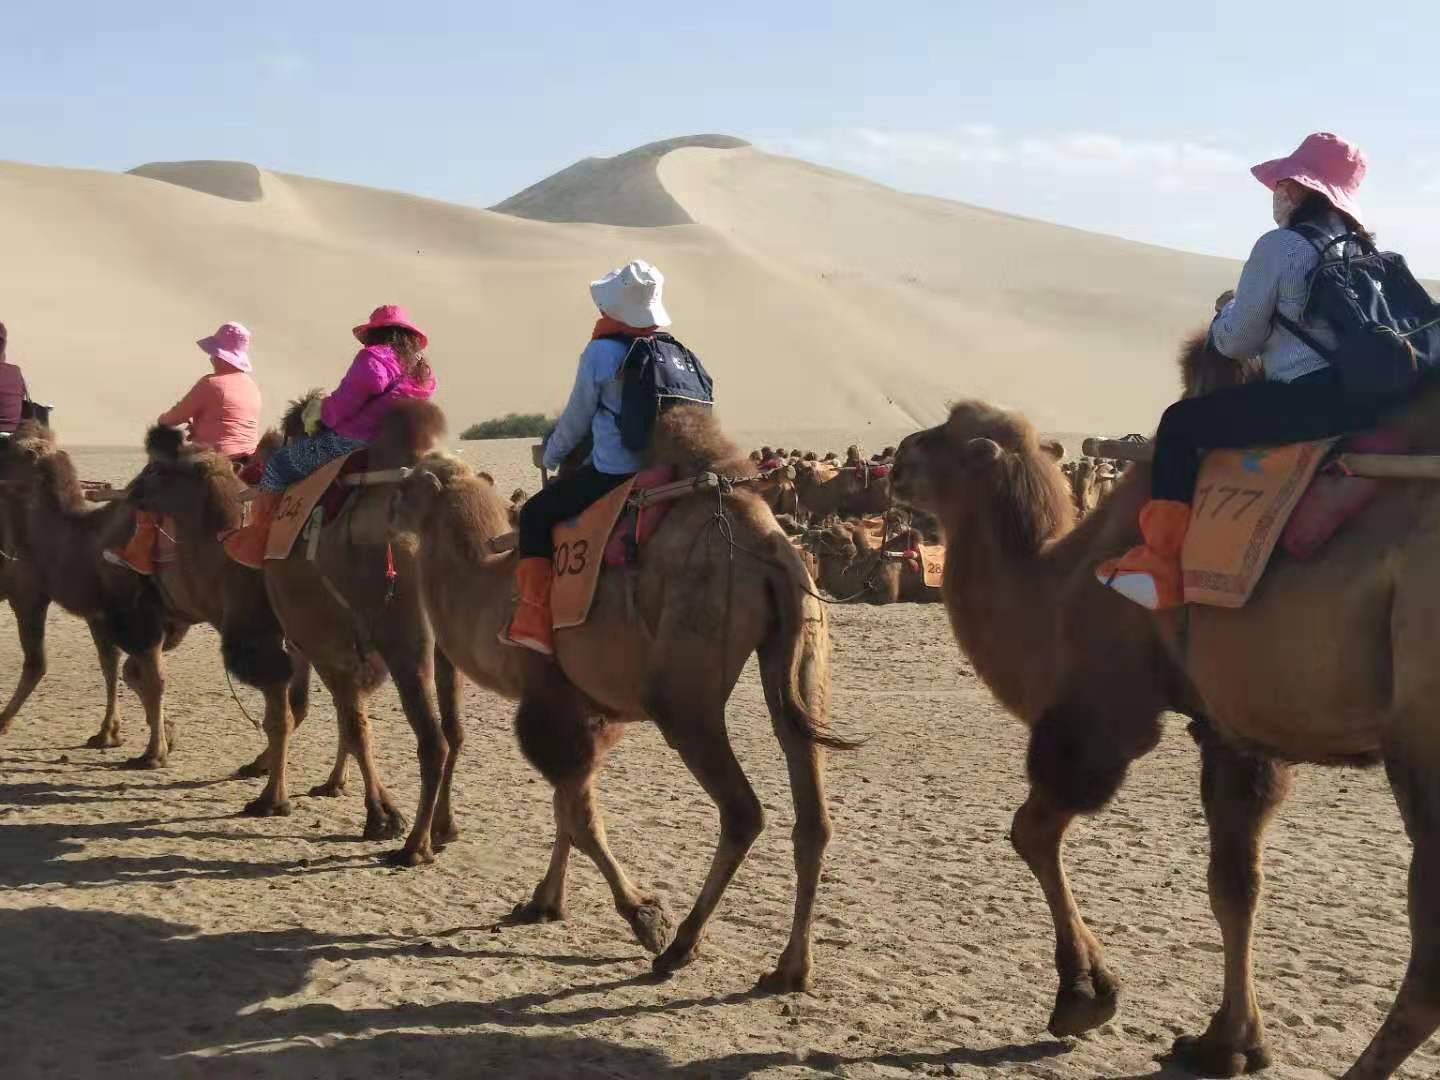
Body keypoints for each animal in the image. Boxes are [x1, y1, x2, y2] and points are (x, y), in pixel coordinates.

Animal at [0, 426, 184, 771]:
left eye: (9, 447)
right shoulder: (97, 613)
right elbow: (110, 665)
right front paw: (108, 734)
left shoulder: (29, 595)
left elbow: (37, 663)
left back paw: (154, 753)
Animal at [123, 423, 321, 817]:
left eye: (156, 467)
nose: (131, 492)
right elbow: (137, 673)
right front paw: (166, 736)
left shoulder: (247, 632)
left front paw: (154, 752)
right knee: (303, 705)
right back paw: (262, 767)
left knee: (286, 714)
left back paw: (269, 797)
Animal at [388, 408, 846, 996]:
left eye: (408, 481)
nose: (388, 510)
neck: (489, 590)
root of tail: (771, 548)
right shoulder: (585, 708)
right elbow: (565, 809)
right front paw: (544, 902)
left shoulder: (552, 701)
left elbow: (579, 818)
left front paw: (644, 916)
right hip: (803, 651)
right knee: (810, 807)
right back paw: (790, 968)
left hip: (684, 695)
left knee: (742, 811)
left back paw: (680, 946)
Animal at [892, 377, 1440, 1077]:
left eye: (946, 436)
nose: (896, 460)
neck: (1058, 590)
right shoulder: (1231, 729)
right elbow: (1234, 885)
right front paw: (1229, 1043)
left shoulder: (1104, 709)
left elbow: (1031, 832)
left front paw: (1085, 996)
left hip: (1421, 735)